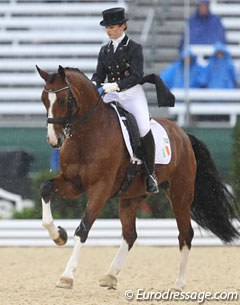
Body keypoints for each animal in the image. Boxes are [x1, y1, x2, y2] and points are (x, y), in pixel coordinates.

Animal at [36, 64, 240, 290]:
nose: (54, 140)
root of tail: (184, 135)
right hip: (131, 197)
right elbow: (45, 188)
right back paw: (110, 275)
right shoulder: (73, 183)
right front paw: (58, 235)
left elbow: (83, 228)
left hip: (181, 193)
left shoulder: (100, 188)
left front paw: (67, 276)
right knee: (130, 234)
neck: (88, 133)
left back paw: (178, 283)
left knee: (185, 233)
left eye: (63, 100)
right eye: (44, 99)